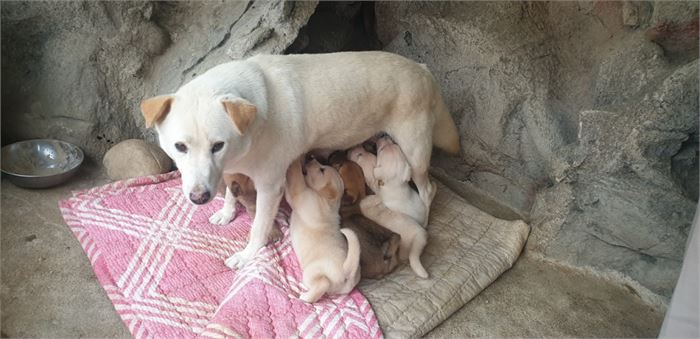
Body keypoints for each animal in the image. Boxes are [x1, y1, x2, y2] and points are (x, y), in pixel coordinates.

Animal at [140, 51, 462, 268]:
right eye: (180, 147)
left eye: (218, 145)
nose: (198, 198)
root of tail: (422, 69)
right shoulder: (226, 171)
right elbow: (230, 192)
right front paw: (227, 212)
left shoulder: (270, 187)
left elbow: (258, 227)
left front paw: (247, 256)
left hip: (415, 150)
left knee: (428, 189)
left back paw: (424, 220)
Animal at [284, 157, 360, 302]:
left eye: (322, 170)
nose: (312, 157)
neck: (329, 202)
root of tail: (348, 273)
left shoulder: (300, 195)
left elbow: (296, 180)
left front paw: (296, 160)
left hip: (311, 272)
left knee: (322, 283)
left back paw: (305, 297)